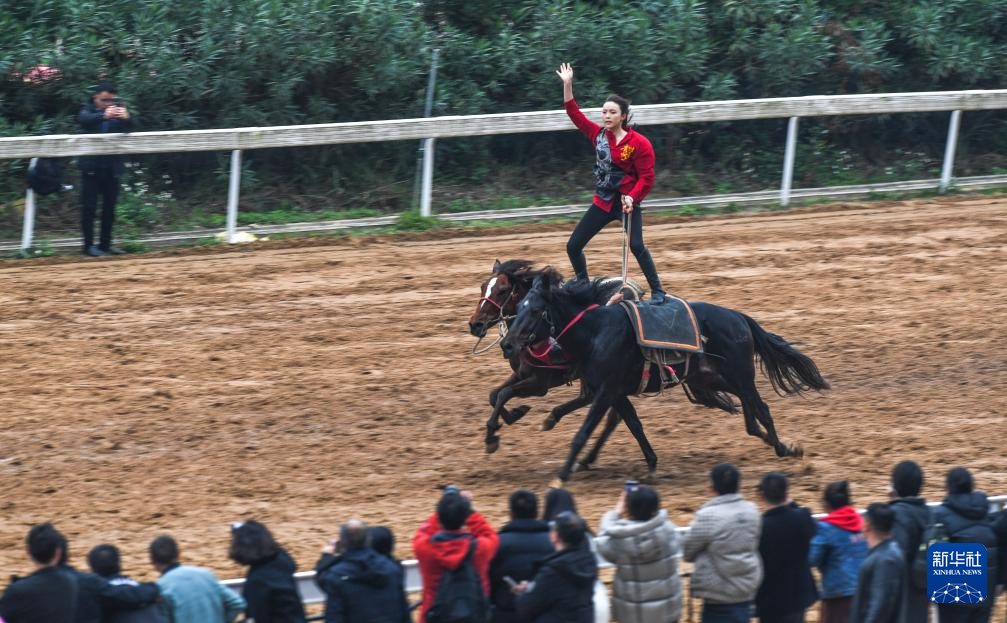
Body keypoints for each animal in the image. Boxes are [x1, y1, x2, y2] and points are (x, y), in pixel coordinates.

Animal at [468, 259, 642, 457]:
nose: (475, 324)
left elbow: (504, 393)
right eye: (483, 286)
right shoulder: (520, 374)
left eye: (503, 290)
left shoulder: (540, 384)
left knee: (609, 412)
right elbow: (494, 395)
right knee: (593, 400)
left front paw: (495, 434)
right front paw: (512, 416)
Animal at [500, 271, 830, 484]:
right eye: (520, 307)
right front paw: (651, 463)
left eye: (536, 310)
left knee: (762, 407)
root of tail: (739, 317)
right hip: (708, 379)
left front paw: (563, 473)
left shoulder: (606, 391)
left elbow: (584, 432)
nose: (508, 344)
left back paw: (784, 448)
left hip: (740, 374)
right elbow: (633, 424)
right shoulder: (613, 392)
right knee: (749, 412)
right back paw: (771, 439)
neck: (597, 331)